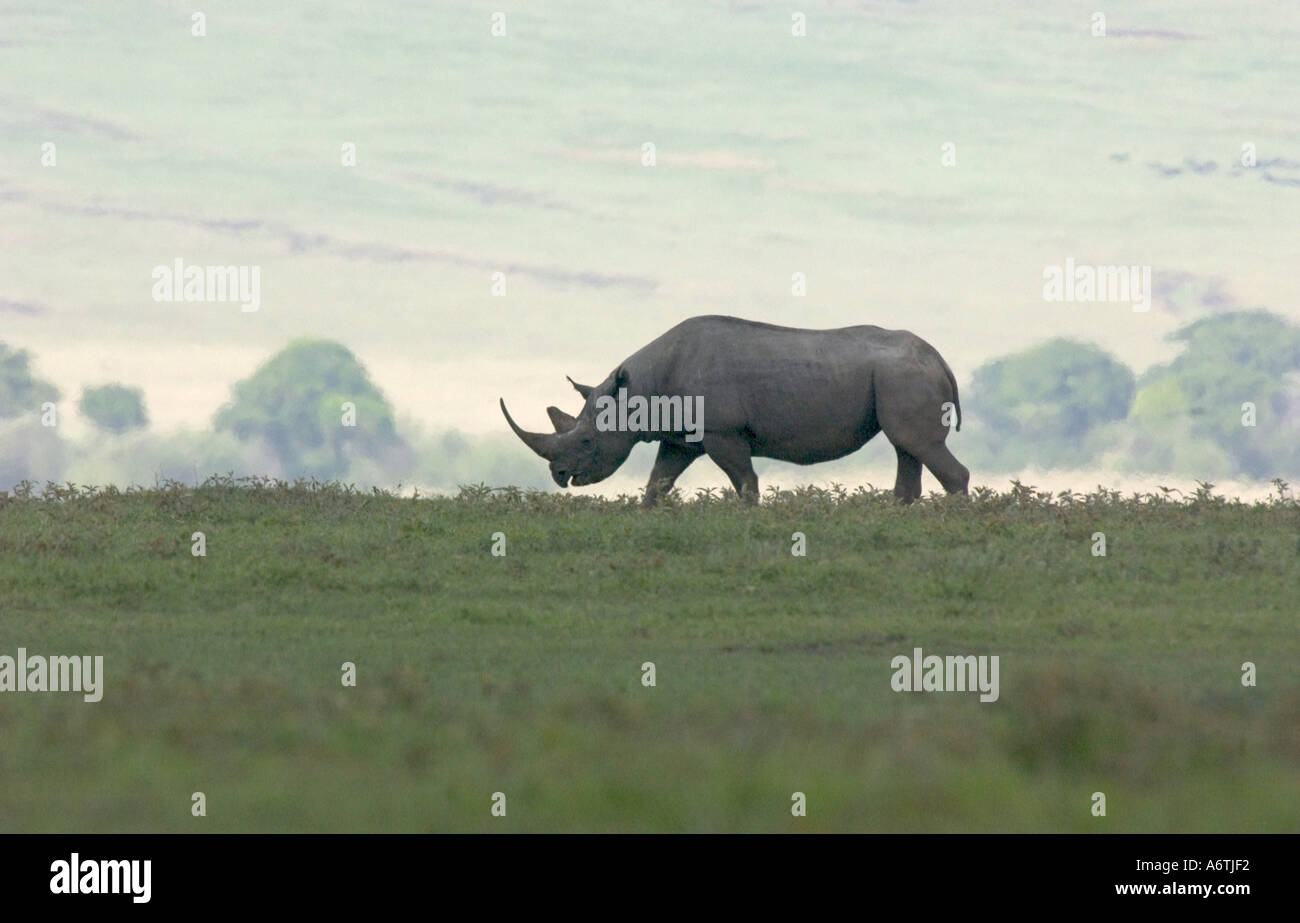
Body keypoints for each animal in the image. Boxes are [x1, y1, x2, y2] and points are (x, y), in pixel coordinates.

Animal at [500, 315, 969, 506]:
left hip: (904, 375)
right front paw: (645, 516)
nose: (559, 476)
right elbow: (658, 482)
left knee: (917, 444)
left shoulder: (721, 431)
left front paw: (749, 519)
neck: (640, 390)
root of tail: (940, 358)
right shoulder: (681, 437)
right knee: (907, 447)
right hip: (899, 376)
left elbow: (745, 482)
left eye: (586, 440)